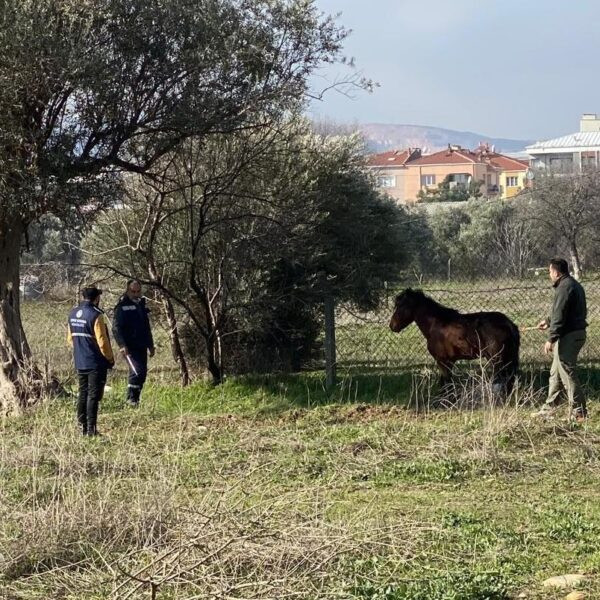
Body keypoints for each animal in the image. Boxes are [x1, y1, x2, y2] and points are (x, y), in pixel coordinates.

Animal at [390, 288, 520, 396]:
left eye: (401, 306)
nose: (392, 326)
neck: (437, 324)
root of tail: (508, 323)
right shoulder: (449, 362)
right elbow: (448, 383)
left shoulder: (442, 361)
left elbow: (446, 384)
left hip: (497, 360)